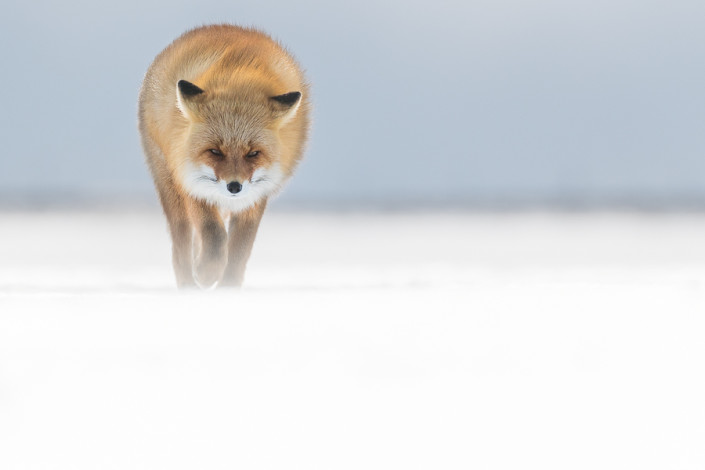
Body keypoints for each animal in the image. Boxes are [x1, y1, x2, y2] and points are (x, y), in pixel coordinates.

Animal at [138, 24, 310, 289]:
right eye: (215, 151)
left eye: (253, 153)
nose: (234, 186)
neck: (240, 75)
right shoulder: (192, 181)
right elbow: (214, 234)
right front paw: (207, 272)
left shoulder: (255, 195)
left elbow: (239, 249)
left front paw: (228, 287)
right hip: (171, 188)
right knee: (181, 247)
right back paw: (188, 285)